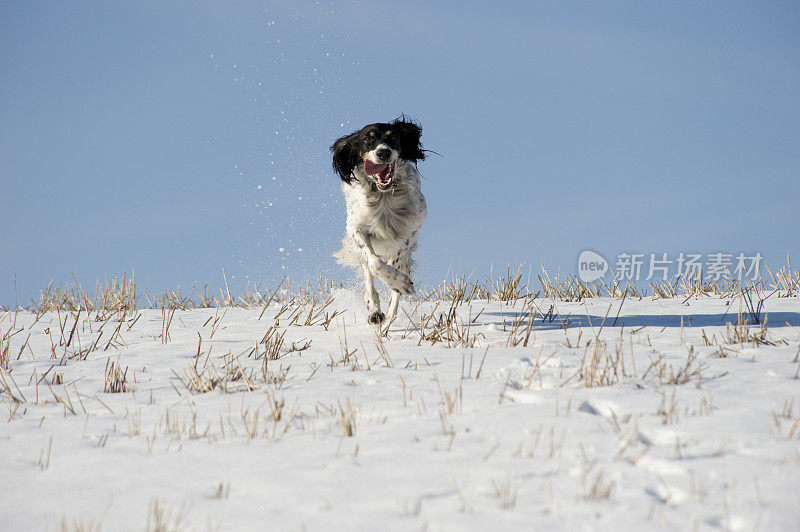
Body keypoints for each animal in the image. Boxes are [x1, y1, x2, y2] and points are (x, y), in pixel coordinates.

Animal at [332, 117, 428, 324]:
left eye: (393, 138)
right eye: (368, 139)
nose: (383, 152)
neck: (383, 196)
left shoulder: (409, 231)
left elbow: (396, 266)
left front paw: (400, 283)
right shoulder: (356, 228)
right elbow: (374, 264)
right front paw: (396, 280)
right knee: (369, 275)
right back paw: (375, 312)